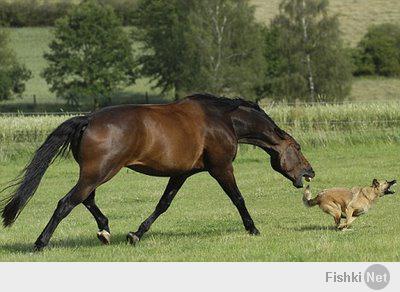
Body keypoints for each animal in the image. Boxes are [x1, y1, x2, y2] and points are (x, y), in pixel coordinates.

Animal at [1, 94, 316, 251]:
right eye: (298, 147)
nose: (310, 172)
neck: (222, 119)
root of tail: (87, 119)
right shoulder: (221, 167)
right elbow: (238, 199)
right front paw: (253, 229)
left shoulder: (182, 173)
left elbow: (163, 204)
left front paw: (135, 235)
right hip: (99, 172)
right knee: (66, 202)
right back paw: (40, 244)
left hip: (95, 173)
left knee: (86, 200)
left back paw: (105, 231)